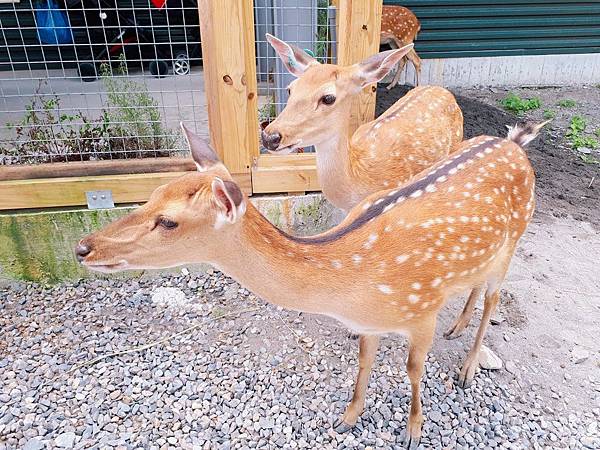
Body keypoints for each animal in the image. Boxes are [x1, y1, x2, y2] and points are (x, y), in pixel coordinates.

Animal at [76, 122, 543, 449]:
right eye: (153, 192)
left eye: (168, 221)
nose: (83, 247)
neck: (355, 290)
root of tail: (515, 143)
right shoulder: (369, 322)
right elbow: (364, 363)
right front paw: (347, 419)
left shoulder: (421, 307)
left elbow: (413, 370)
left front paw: (413, 431)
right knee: (476, 286)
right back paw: (458, 326)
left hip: (515, 239)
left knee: (494, 298)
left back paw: (468, 367)